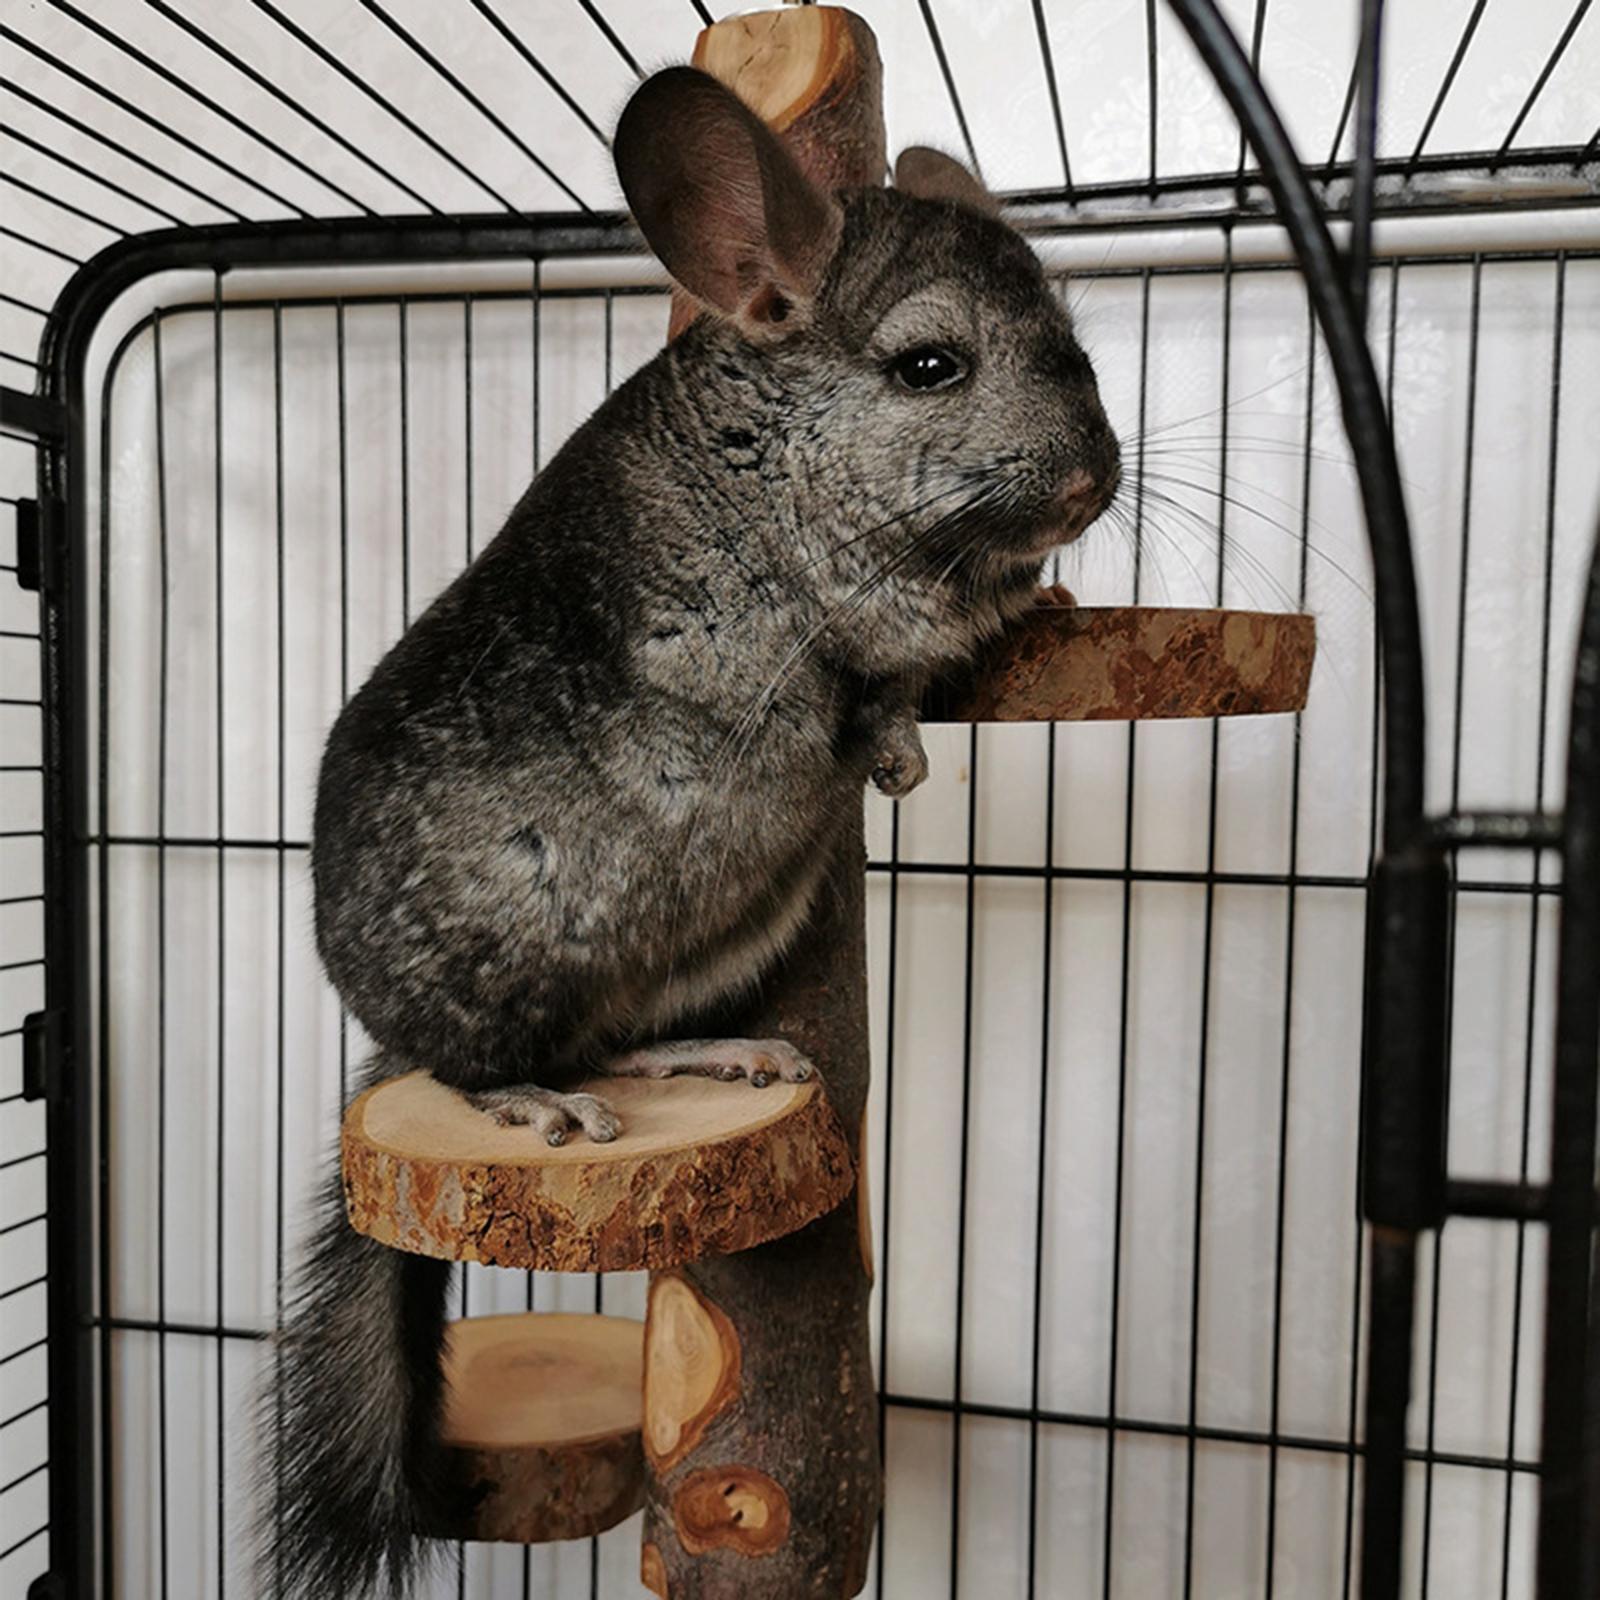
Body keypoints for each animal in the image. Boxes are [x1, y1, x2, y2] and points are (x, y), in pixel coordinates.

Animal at [261, 66, 1119, 1599]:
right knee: (485, 1063)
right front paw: (1006, 635)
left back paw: (721, 1052)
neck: (775, 436)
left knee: (611, 1032)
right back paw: (537, 1103)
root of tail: (374, 1022)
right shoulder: (865, 595)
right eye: (929, 366)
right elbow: (929, 635)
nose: (1098, 484)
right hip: (521, 954)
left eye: (1071, 344)